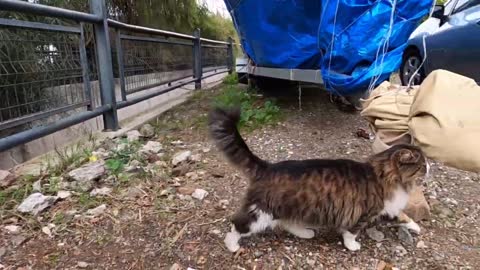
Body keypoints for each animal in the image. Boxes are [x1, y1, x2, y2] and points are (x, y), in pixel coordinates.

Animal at [207, 106, 428, 252]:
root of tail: (268, 166)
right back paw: (232, 245)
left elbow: (403, 216)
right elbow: (351, 232)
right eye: (423, 165)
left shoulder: (387, 208)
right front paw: (352, 245)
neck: (383, 174)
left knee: (287, 222)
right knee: (238, 224)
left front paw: (416, 227)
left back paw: (305, 233)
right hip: (262, 212)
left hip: (292, 207)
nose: (430, 169)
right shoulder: (364, 212)